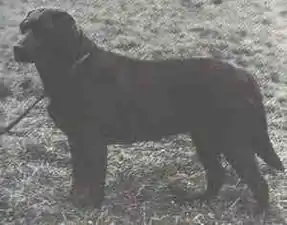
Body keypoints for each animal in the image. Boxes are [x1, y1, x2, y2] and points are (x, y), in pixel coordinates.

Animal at [12, 7, 284, 210]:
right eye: (23, 28)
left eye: (44, 31)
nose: (16, 48)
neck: (70, 69)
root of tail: (245, 74)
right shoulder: (76, 139)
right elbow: (79, 175)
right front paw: (74, 200)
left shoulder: (93, 140)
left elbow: (95, 177)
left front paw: (92, 206)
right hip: (205, 138)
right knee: (217, 176)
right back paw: (197, 201)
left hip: (232, 139)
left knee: (258, 182)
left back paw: (257, 213)